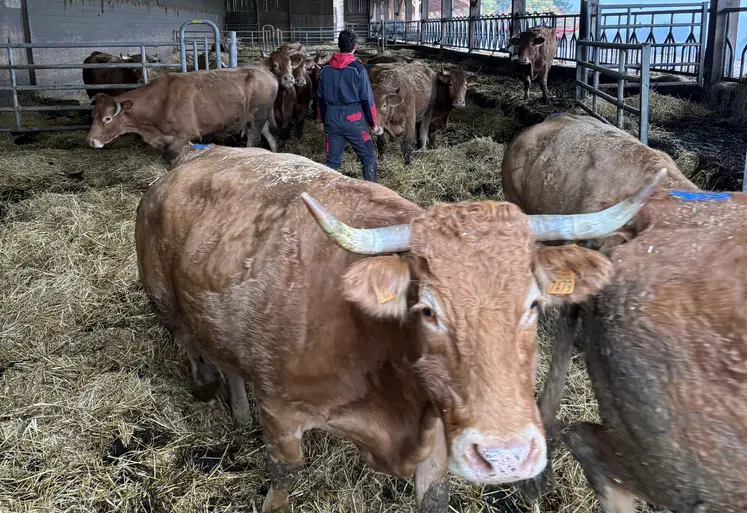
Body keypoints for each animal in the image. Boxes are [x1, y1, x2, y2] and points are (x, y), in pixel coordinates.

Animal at [84, 67, 278, 158]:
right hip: (259, 118)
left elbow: (171, 155)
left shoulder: (187, 133)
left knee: (254, 140)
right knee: (271, 137)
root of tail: (266, 73)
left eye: (107, 118)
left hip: (256, 118)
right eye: (93, 115)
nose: (91, 141)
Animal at [133, 143, 660, 512]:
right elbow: (282, 483)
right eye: (427, 309)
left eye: (532, 303)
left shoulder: (438, 439)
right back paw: (207, 387)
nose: (507, 457)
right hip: (163, 296)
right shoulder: (281, 415)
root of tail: (184, 164)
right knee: (189, 340)